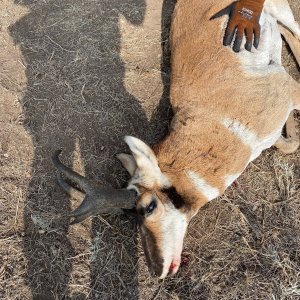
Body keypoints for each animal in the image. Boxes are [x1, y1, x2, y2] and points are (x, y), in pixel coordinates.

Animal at [54, 0, 300, 278]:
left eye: (149, 207)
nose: (155, 269)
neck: (216, 120)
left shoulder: (291, 90)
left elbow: (290, 143)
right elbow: (287, 144)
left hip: (282, 11)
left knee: (293, 30)